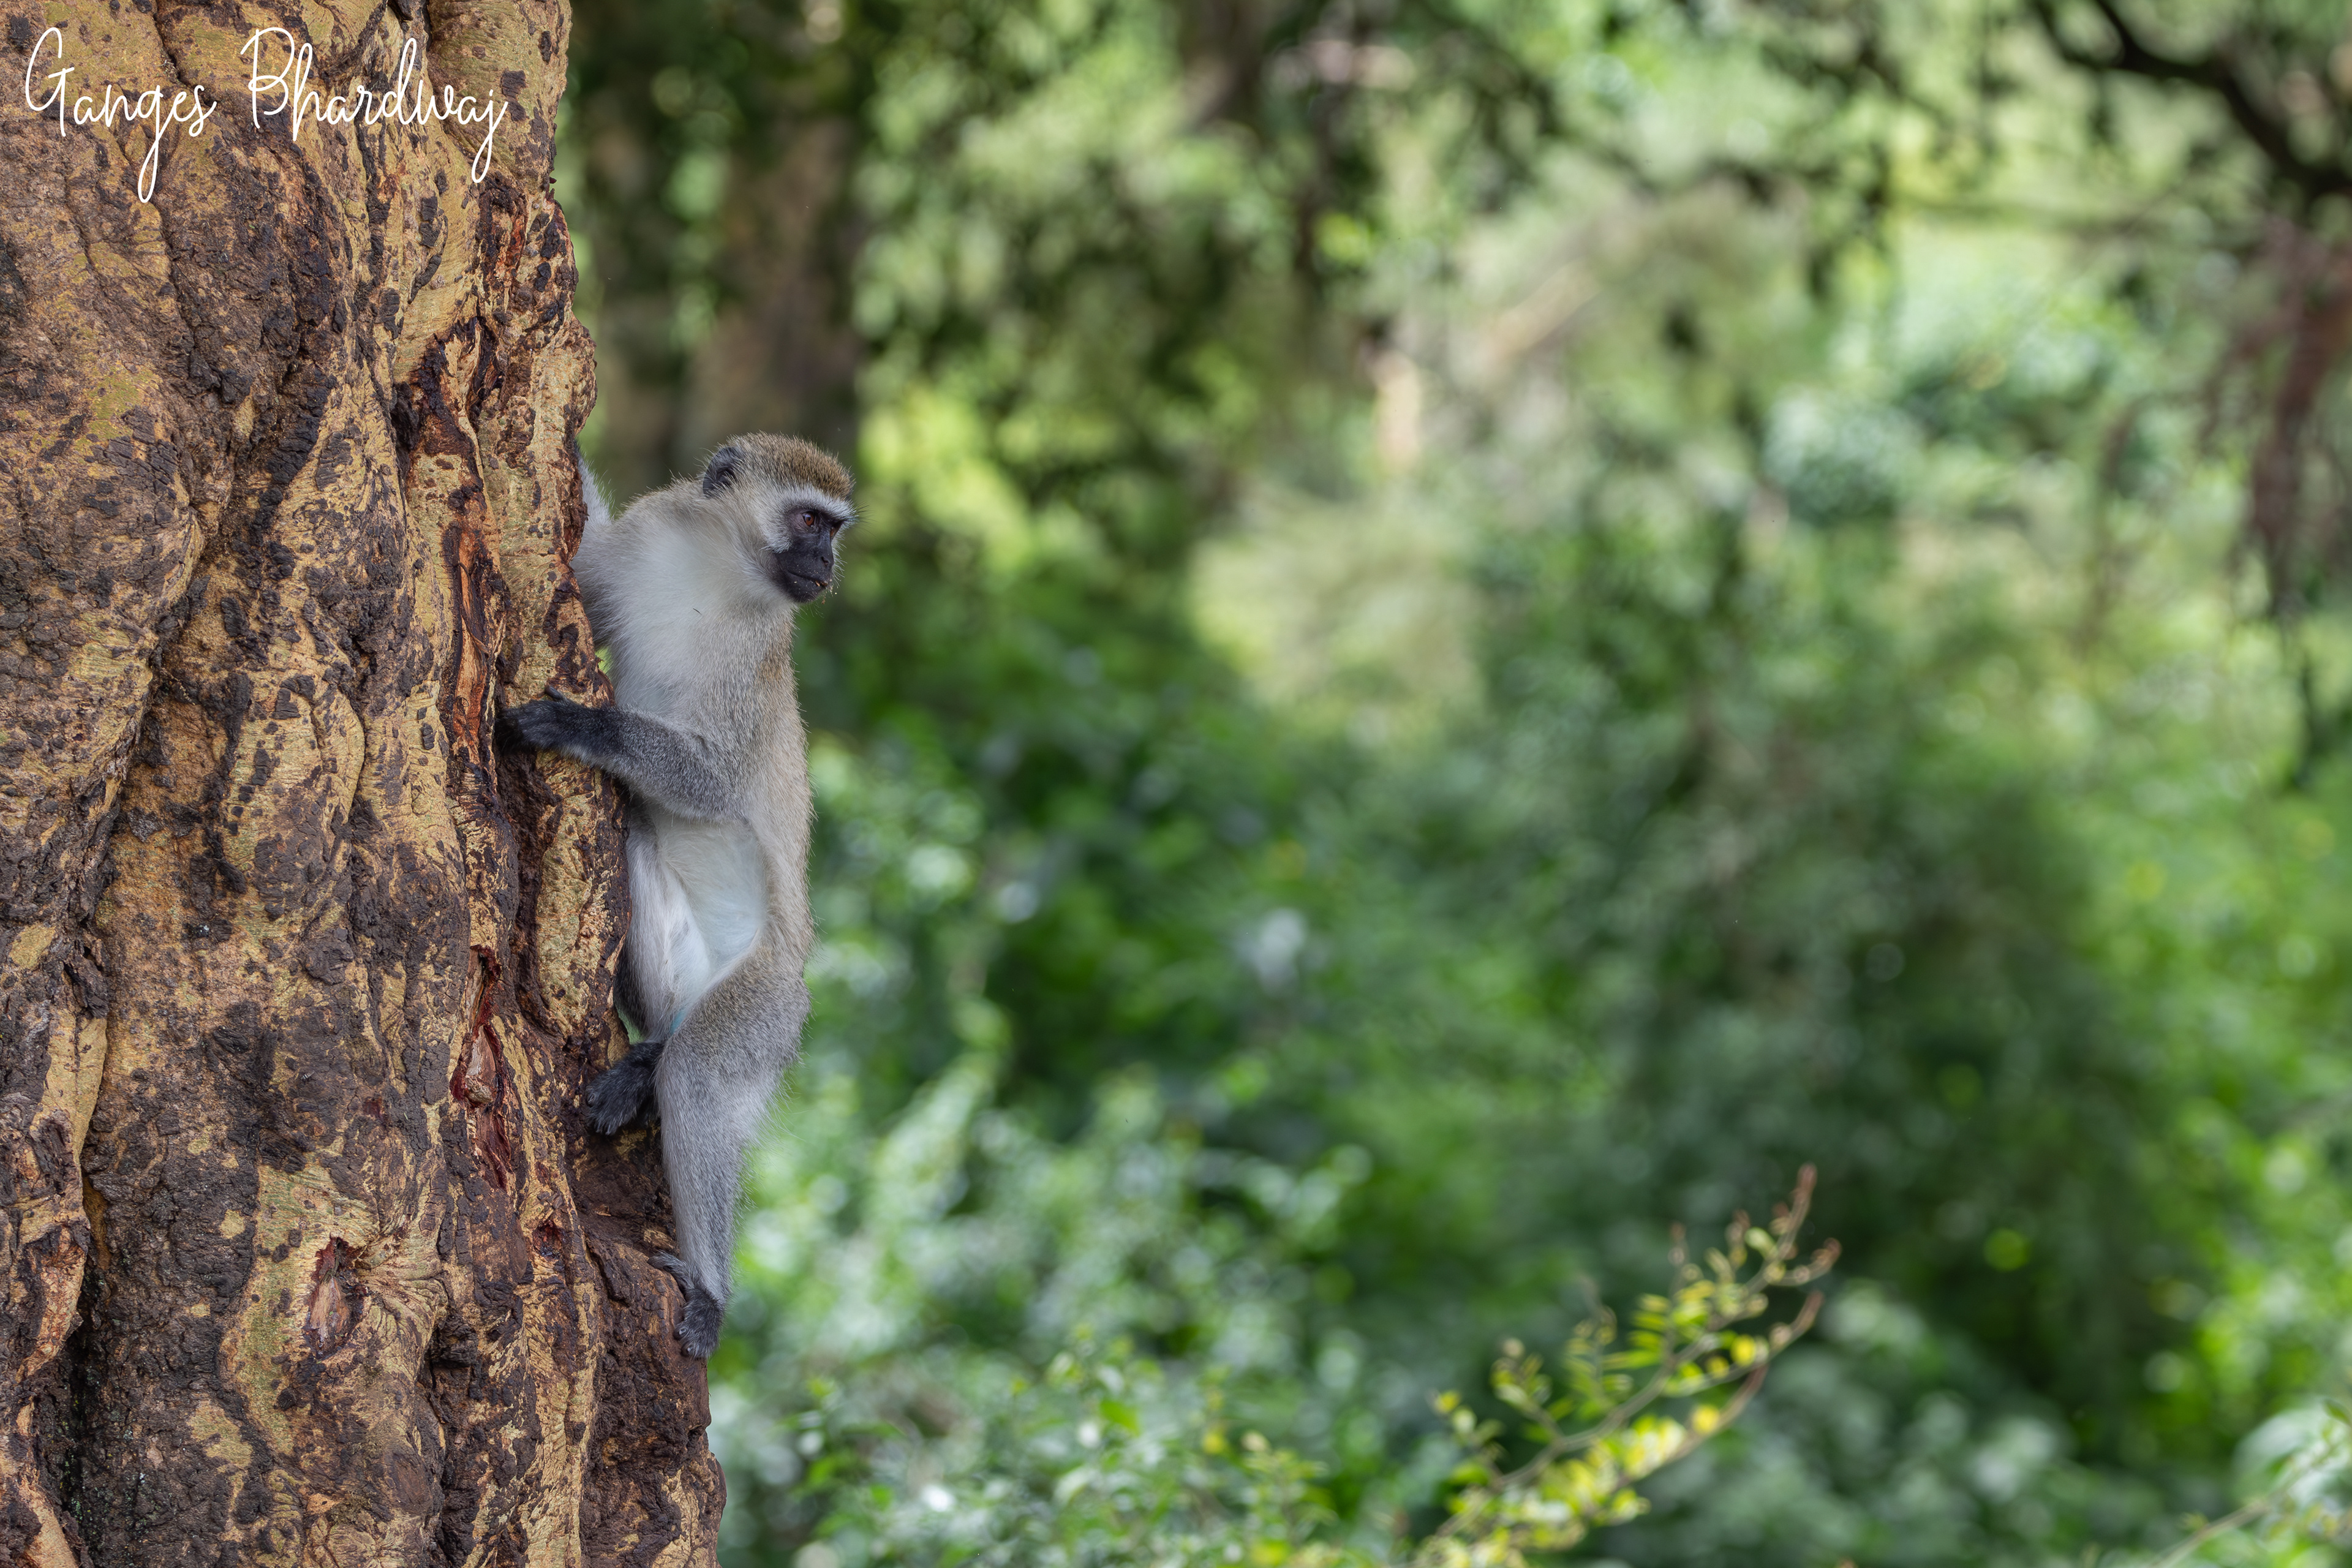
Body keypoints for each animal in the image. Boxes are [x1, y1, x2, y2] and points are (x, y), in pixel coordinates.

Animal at [500, 434, 854, 1357]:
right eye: (811, 522)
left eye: (836, 529)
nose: (827, 566)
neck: (718, 571)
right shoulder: (648, 543)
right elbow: (587, 562)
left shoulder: (753, 663)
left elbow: (715, 778)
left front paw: (587, 727)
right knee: (632, 853)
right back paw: (648, 1049)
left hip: (769, 1005)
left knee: (701, 1074)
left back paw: (709, 1290)